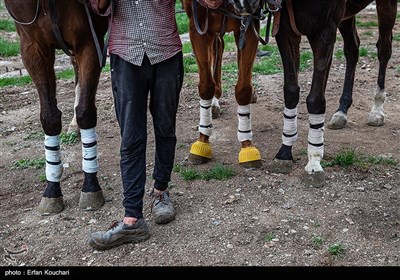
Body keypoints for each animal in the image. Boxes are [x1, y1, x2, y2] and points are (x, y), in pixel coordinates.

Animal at [3, 0, 109, 214]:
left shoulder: (89, 43)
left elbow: (86, 112)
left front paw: (91, 186)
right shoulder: (32, 47)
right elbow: (49, 116)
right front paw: (52, 188)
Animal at [183, 0, 270, 168]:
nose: (248, 3)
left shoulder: (249, 25)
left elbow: (243, 88)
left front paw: (247, 145)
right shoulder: (198, 27)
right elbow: (206, 86)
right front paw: (202, 141)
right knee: (218, 45)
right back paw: (214, 102)